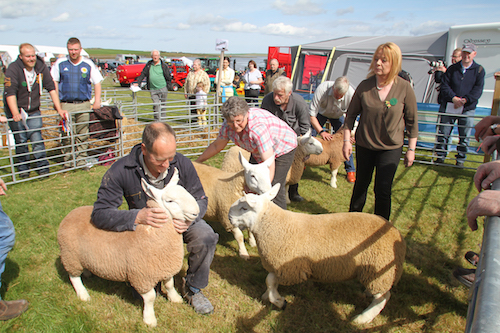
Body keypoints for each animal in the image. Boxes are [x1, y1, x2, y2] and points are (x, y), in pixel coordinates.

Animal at [57, 169, 198, 326]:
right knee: (73, 277)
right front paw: (149, 319)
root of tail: (70, 214)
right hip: (70, 255)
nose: (196, 211)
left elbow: (169, 285)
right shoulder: (141, 276)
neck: (151, 232)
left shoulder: (165, 267)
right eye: (170, 201)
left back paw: (87, 273)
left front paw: (176, 299)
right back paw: (83, 294)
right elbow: (150, 297)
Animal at [229, 183, 408, 322]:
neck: (274, 225)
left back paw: (363, 318)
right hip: (376, 273)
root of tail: (396, 234)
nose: (229, 217)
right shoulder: (280, 266)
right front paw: (269, 296)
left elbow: (270, 281)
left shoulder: (289, 267)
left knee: (383, 298)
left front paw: (279, 301)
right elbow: (270, 282)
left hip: (380, 271)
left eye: (244, 208)